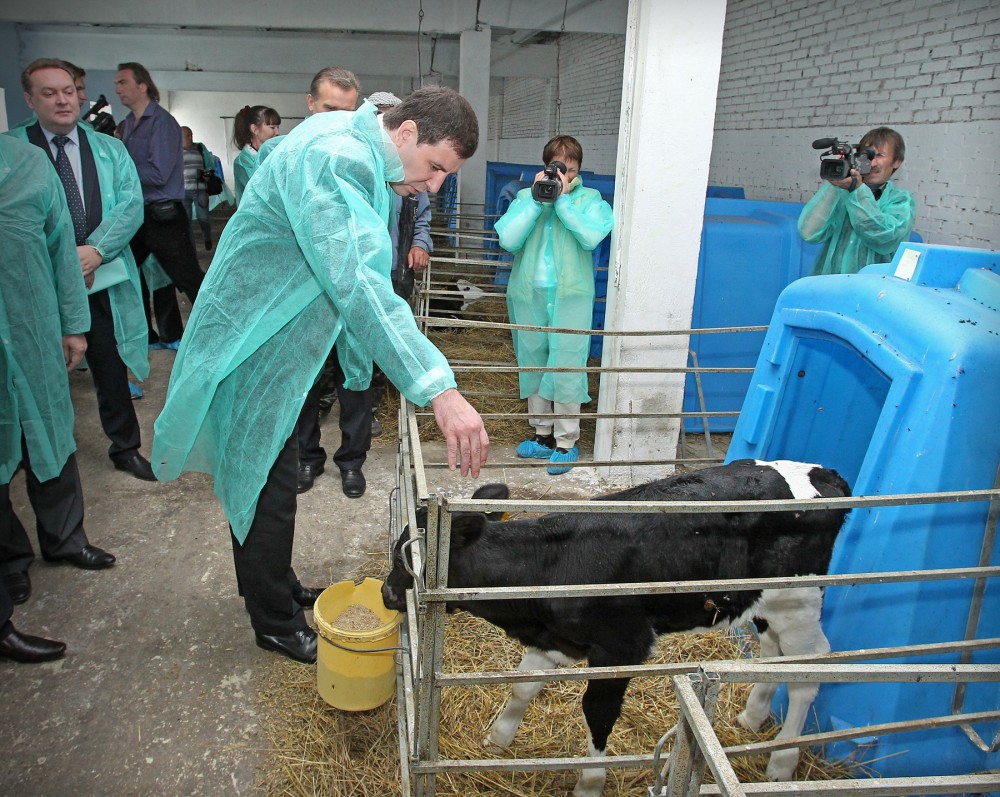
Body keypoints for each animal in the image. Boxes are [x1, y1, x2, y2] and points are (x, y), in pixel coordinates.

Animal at [382, 458, 852, 792]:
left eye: (408, 560)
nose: (387, 594)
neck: (549, 562)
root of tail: (826, 475)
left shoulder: (622, 646)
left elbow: (597, 711)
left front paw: (590, 783)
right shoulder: (556, 638)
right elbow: (523, 687)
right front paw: (498, 739)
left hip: (799, 601)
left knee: (810, 670)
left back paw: (782, 762)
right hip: (766, 602)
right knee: (775, 654)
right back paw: (753, 718)